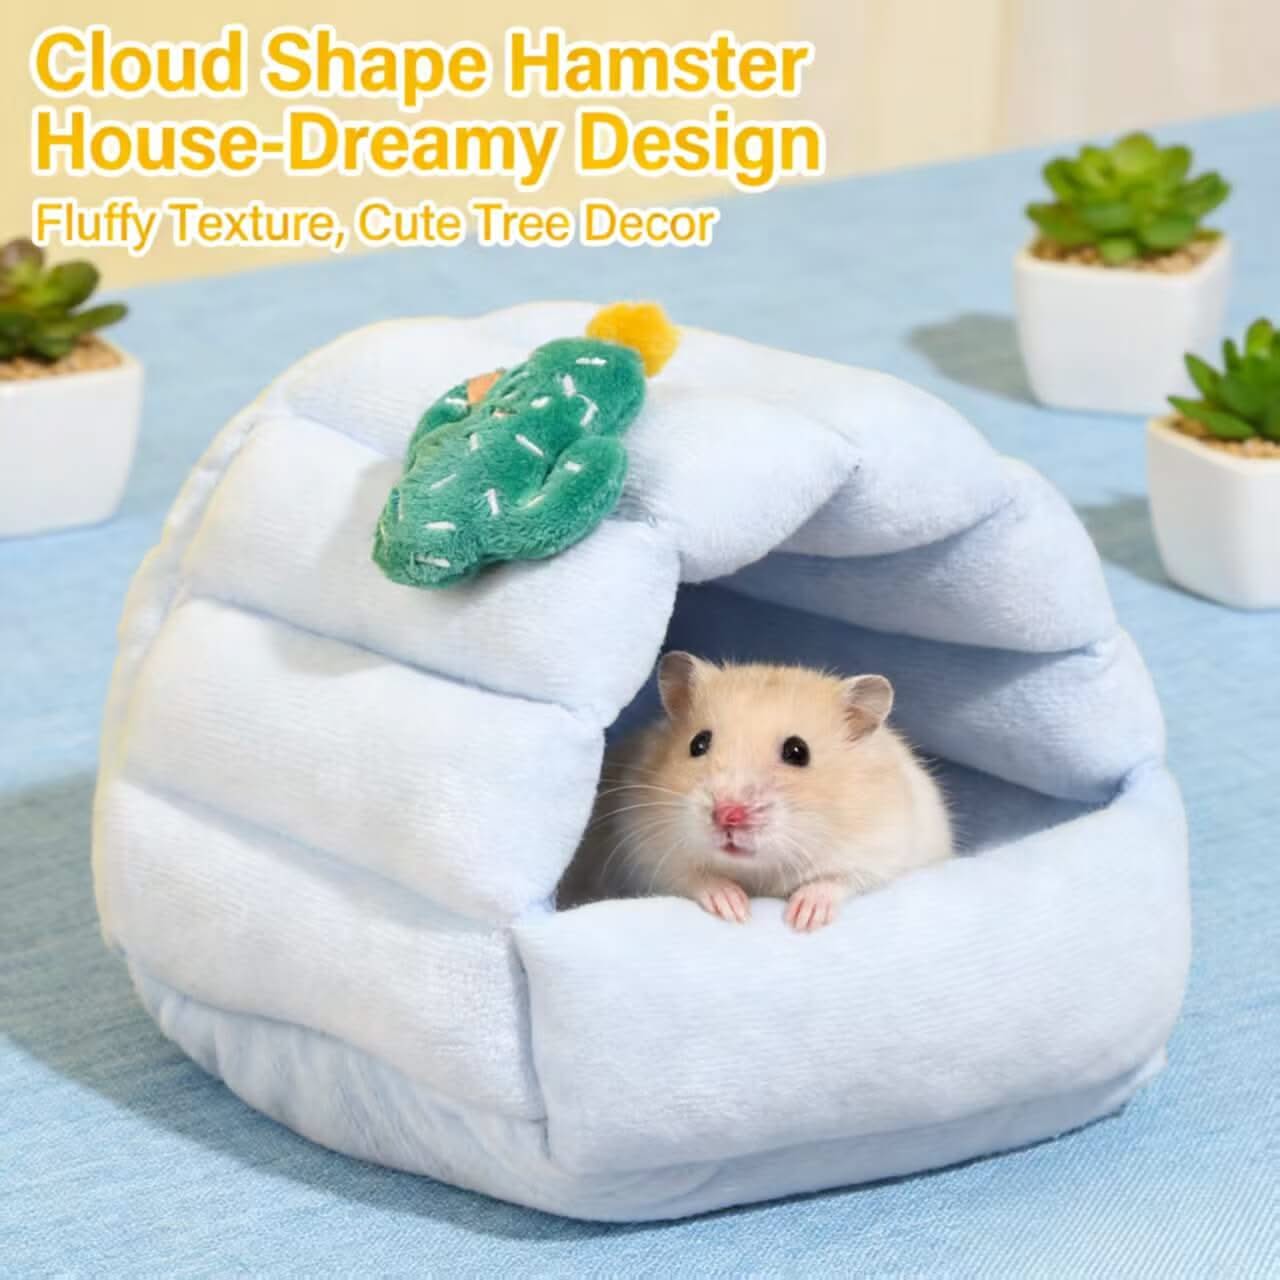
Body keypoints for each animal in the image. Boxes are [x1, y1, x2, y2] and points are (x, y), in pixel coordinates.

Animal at [558, 653, 953, 931]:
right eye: (698, 743)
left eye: (798, 752)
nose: (727, 815)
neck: (759, 872)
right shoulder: (644, 850)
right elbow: (691, 877)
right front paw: (733, 908)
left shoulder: (881, 848)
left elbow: (839, 879)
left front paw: (803, 918)